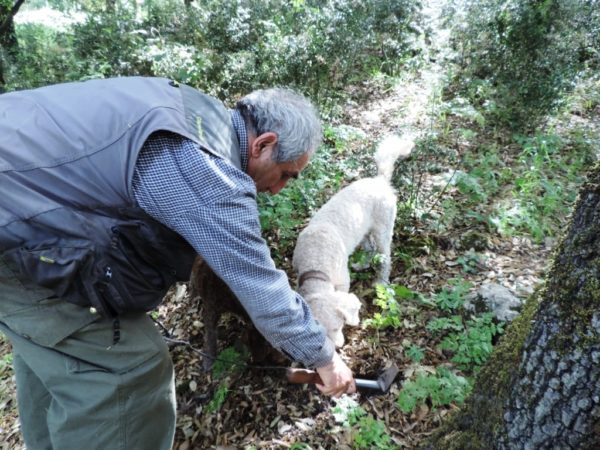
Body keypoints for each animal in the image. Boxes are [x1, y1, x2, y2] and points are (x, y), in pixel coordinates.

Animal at [292, 134, 414, 344]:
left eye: (337, 327)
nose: (339, 346)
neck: (315, 262)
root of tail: (380, 181)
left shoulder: (342, 282)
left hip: (383, 229)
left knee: (385, 257)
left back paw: (381, 281)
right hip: (362, 232)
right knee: (369, 249)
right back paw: (362, 264)